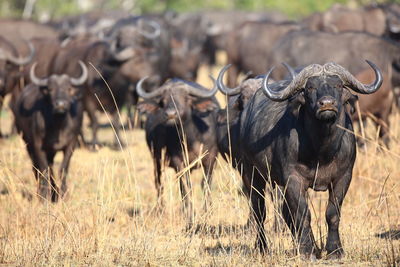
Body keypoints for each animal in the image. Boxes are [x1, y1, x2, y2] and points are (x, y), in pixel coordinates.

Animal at [13, 61, 87, 202]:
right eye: (51, 89)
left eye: (68, 89)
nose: (60, 104)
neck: (59, 126)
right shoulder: (37, 146)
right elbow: (44, 169)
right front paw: (44, 196)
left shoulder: (71, 144)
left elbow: (63, 169)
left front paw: (63, 194)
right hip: (27, 143)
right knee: (36, 168)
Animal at [137, 77, 219, 226]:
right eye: (163, 101)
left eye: (185, 98)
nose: (170, 114)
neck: (191, 139)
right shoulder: (178, 162)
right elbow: (186, 187)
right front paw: (190, 214)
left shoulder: (211, 158)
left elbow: (206, 184)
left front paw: (207, 212)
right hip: (156, 159)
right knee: (159, 182)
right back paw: (161, 209)